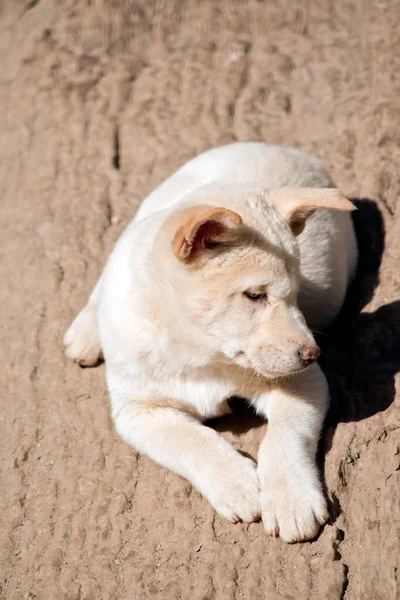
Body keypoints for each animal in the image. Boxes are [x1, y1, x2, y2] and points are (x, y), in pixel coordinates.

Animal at [64, 142, 358, 544]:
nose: (313, 353)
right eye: (254, 295)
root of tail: (277, 147)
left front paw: (291, 499)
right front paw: (237, 484)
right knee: (107, 271)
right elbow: (193, 440)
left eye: (296, 293)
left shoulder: (303, 382)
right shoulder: (139, 412)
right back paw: (85, 331)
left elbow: (285, 436)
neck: (199, 353)